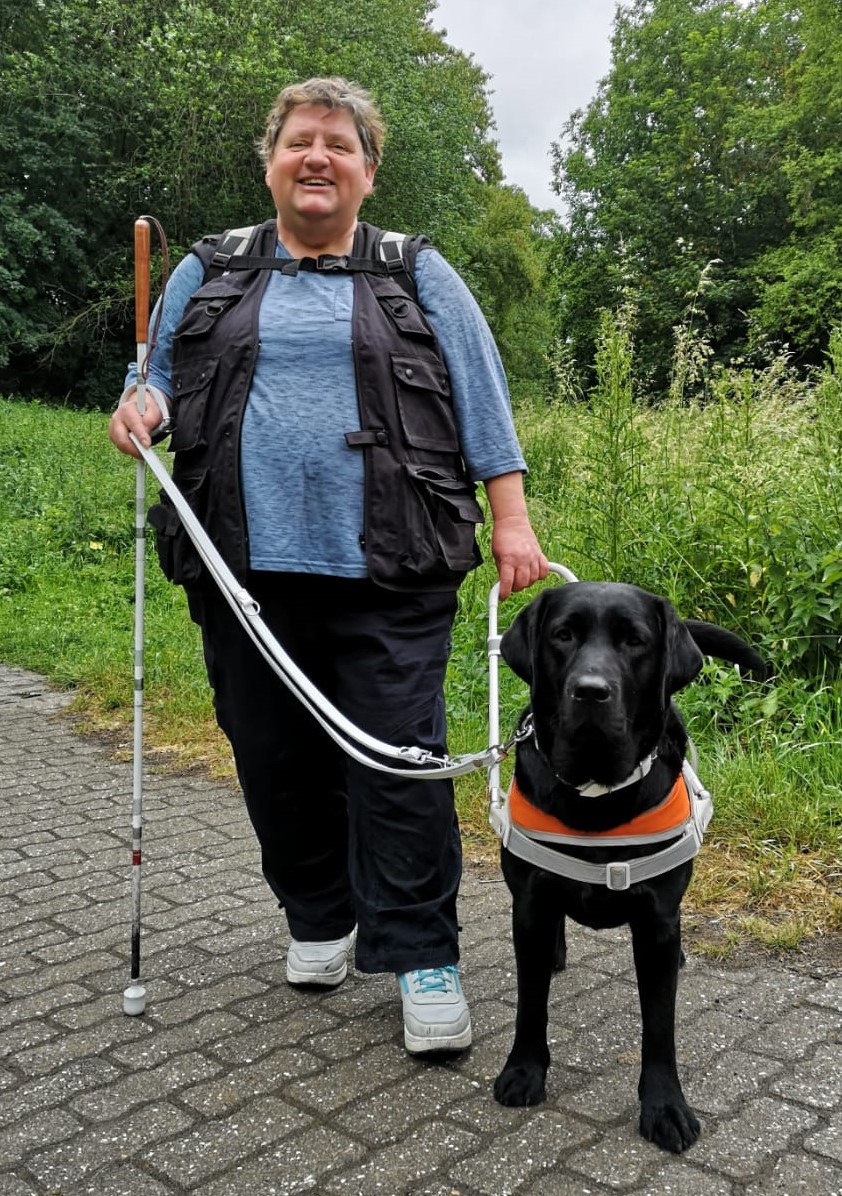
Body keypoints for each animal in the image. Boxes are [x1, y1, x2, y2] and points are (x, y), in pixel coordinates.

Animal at [492, 583, 770, 1152]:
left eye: (635, 641)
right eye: (563, 635)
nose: (590, 691)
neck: (596, 795)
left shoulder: (658, 920)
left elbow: (659, 1026)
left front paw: (665, 1106)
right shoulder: (528, 904)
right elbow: (531, 1002)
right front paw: (524, 1071)